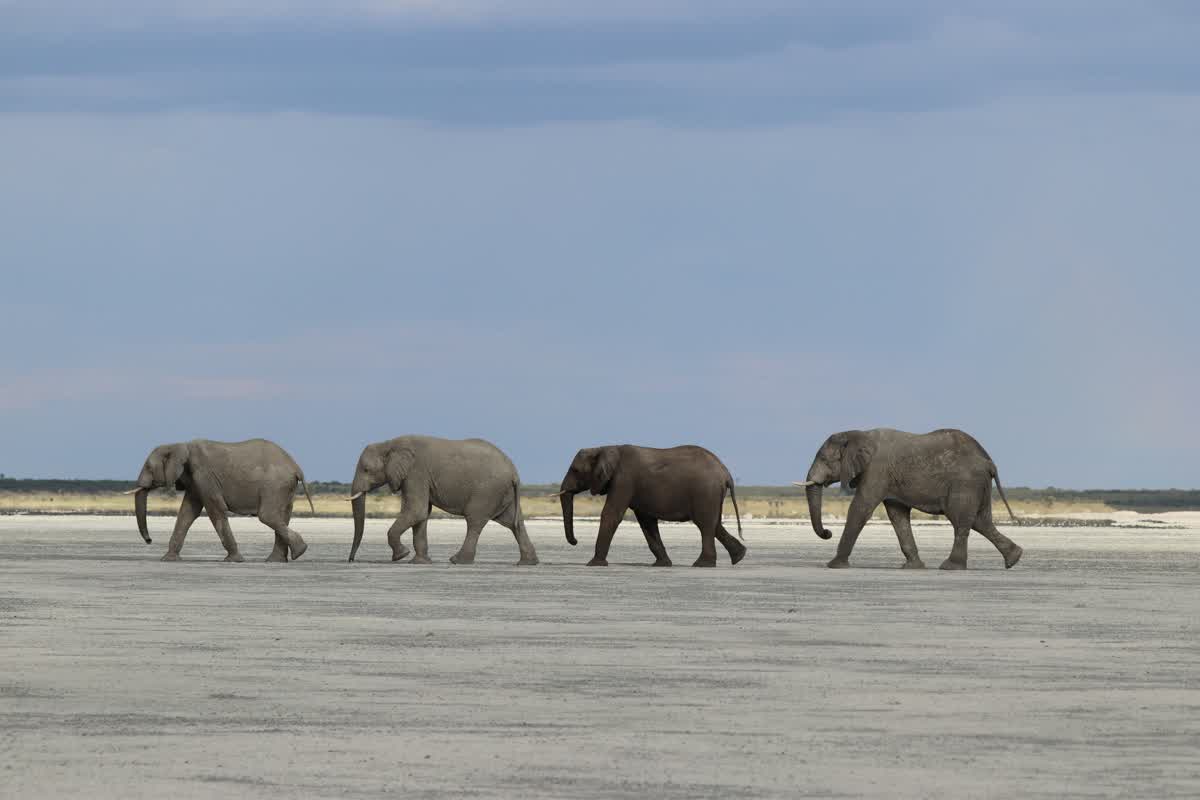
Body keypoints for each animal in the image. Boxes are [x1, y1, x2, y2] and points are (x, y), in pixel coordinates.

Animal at [125, 438, 314, 562]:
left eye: (149, 468)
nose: (149, 541)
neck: (179, 445)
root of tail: (296, 466)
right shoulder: (195, 481)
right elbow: (187, 512)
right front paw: (168, 559)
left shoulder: (204, 475)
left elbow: (215, 509)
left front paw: (233, 560)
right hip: (284, 487)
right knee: (282, 516)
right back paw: (278, 559)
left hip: (275, 485)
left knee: (267, 515)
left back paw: (299, 551)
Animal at [347, 435, 538, 565]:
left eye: (366, 469)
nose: (351, 560)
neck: (388, 444)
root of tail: (514, 472)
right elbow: (422, 514)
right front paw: (420, 562)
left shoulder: (416, 473)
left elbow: (416, 510)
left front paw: (401, 556)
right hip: (502, 493)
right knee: (514, 523)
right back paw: (527, 563)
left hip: (488, 491)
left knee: (475, 521)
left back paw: (457, 560)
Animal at [555, 444, 745, 567]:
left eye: (575, 470)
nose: (575, 541)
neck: (604, 447)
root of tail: (725, 473)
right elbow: (646, 521)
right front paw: (662, 565)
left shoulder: (624, 479)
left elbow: (611, 514)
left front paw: (594, 564)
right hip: (711, 495)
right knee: (714, 523)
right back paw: (739, 557)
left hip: (705, 492)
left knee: (705, 524)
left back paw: (702, 564)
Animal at [796, 428, 1023, 570]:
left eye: (824, 459)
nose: (827, 532)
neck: (858, 433)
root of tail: (988, 462)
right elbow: (897, 516)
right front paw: (913, 567)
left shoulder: (877, 471)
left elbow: (861, 508)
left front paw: (834, 565)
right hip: (978, 485)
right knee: (981, 521)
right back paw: (1014, 559)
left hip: (965, 483)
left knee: (960, 520)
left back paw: (950, 567)